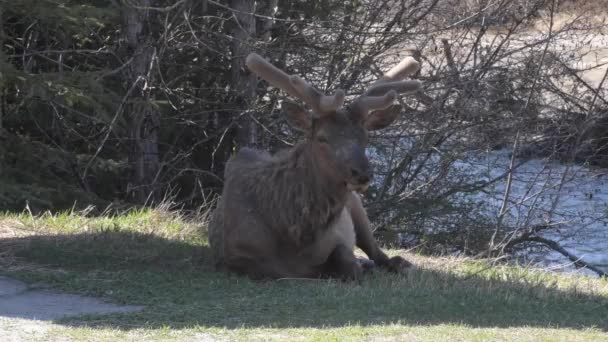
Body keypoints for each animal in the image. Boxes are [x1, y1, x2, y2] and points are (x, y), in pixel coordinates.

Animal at [209, 51, 422, 280]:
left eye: (366, 137)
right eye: (322, 138)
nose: (362, 173)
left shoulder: (338, 238)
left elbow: (347, 259)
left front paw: (355, 266)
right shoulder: (233, 255)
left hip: (357, 207)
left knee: (376, 251)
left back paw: (397, 264)